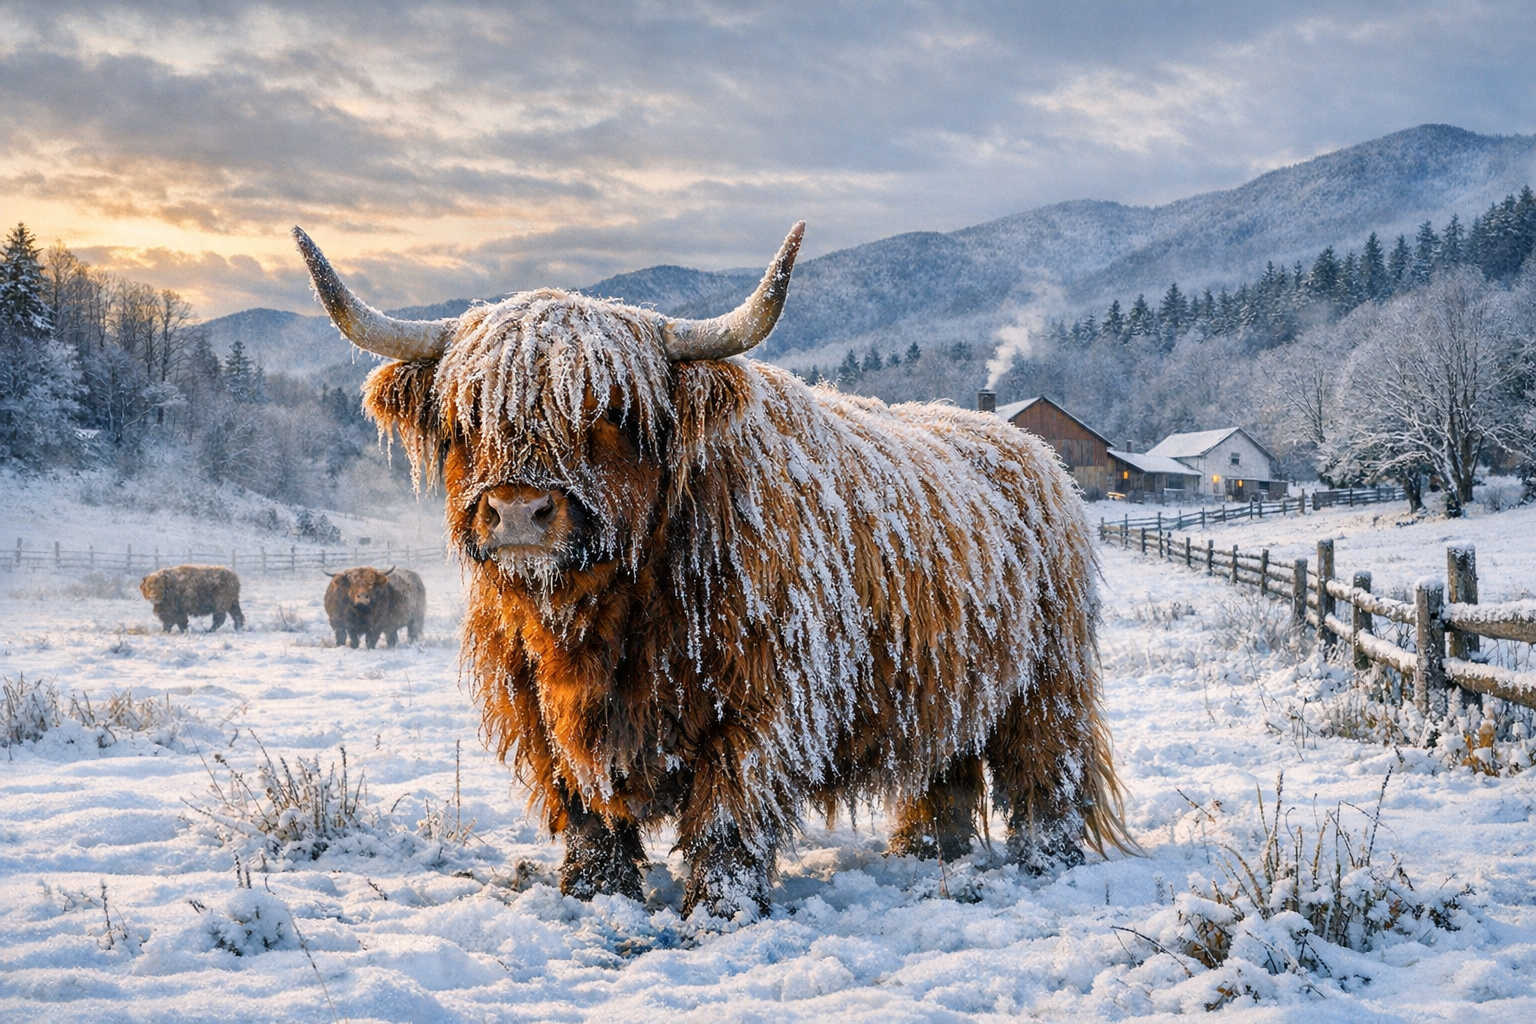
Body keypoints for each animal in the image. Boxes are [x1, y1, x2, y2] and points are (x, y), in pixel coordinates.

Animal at [295, 222, 1130, 918]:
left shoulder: (764, 703)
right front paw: (596, 896)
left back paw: (1042, 861)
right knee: (942, 771)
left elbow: (728, 816)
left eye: (611, 414)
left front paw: (720, 912)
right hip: (943, 683)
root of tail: (1031, 450)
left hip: (1048, 680)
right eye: (467, 416)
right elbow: (586, 812)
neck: (599, 614)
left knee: (1046, 771)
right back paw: (925, 853)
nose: (519, 512)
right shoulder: (539, 710)